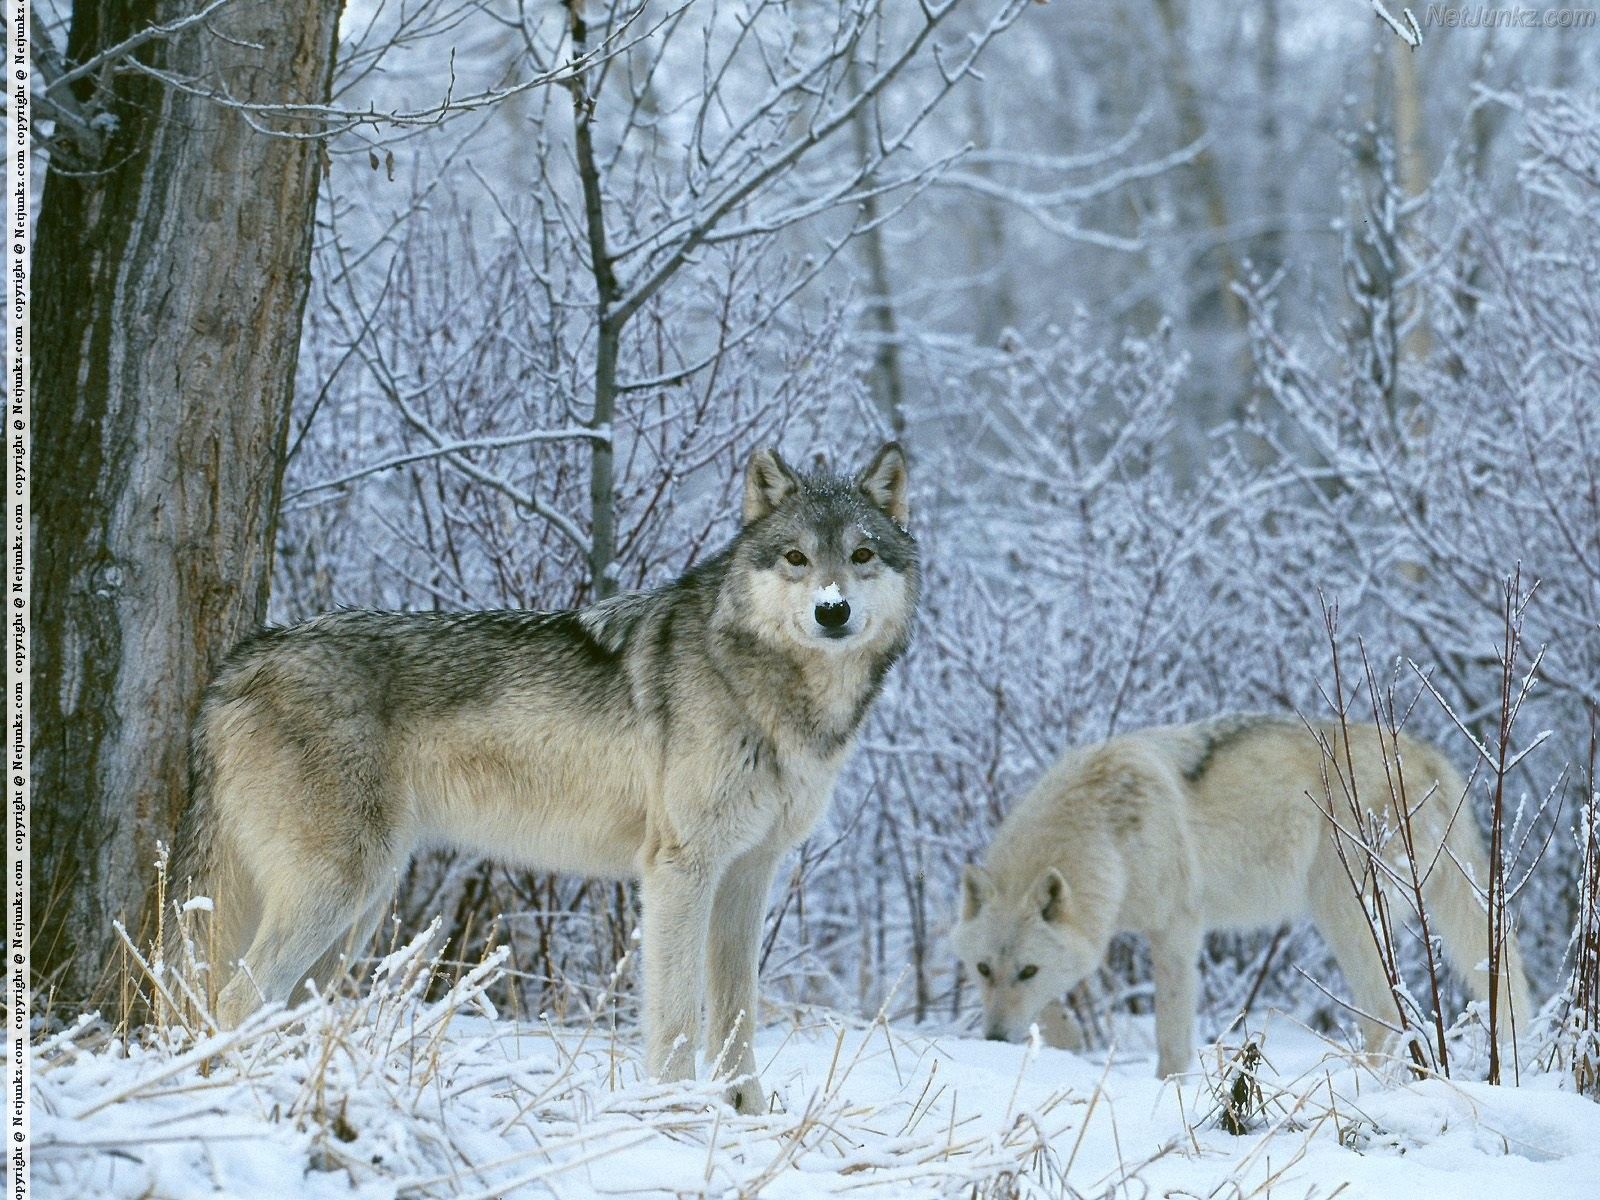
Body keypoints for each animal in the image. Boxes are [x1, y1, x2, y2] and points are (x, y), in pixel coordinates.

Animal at [170, 444, 921, 1120]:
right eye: (796, 558)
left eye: (862, 556)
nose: (832, 610)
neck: (771, 691)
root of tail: (237, 664)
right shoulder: (680, 869)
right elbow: (677, 1014)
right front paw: (675, 1114)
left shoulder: (748, 872)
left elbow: (737, 1012)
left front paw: (744, 1114)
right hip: (340, 891)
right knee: (235, 996)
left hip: (358, 911)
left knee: (282, 1005)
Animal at [953, 713, 1529, 1081]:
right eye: (982, 970)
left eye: (1026, 970)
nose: (994, 1039)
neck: (1105, 832)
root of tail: (1430, 756)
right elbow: (1057, 1009)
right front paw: (1067, 1044)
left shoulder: (1176, 931)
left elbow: (1170, 1037)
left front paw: (1166, 1089)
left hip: (1342, 915)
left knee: (1386, 1018)